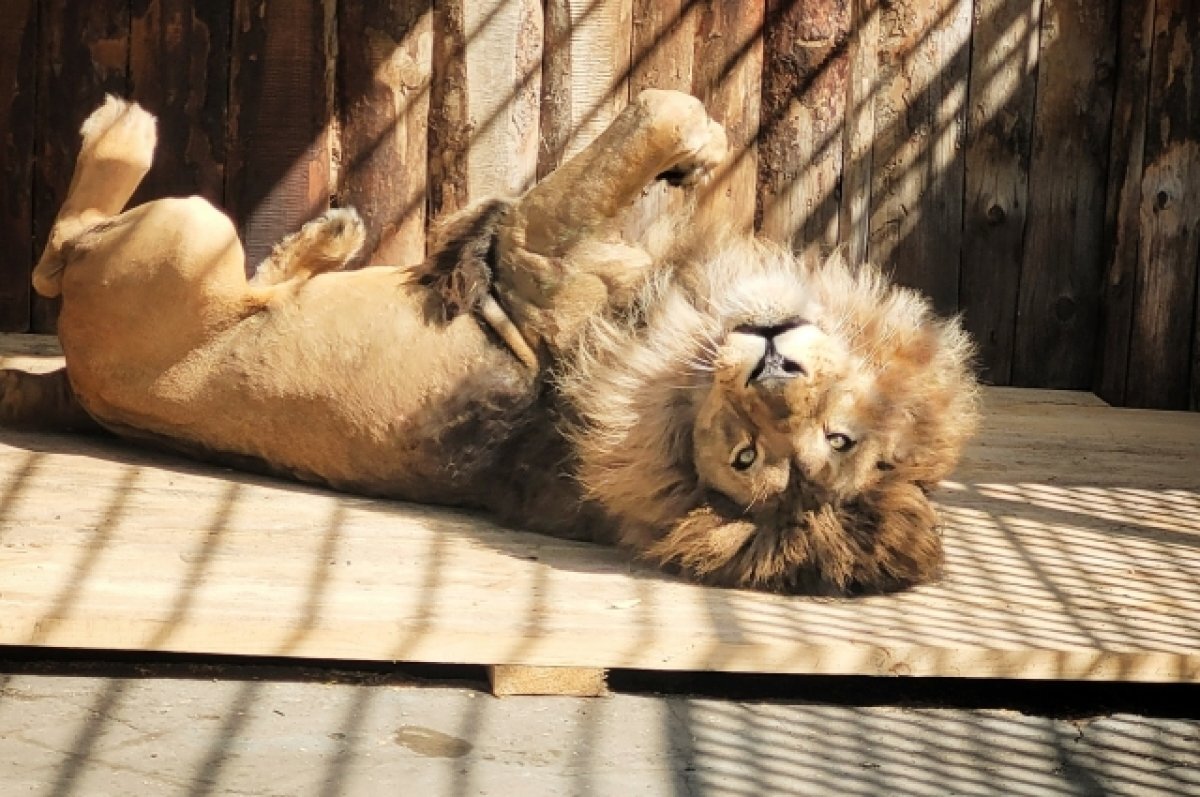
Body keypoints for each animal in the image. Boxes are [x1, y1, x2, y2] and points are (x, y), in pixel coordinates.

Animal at [0, 90, 979, 595]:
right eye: (837, 434)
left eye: (749, 459)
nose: (772, 366)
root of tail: (74, 394)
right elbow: (664, 119)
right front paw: (697, 156)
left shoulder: (533, 244)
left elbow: (656, 108)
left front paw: (690, 142)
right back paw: (322, 242)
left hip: (181, 234)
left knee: (58, 256)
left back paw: (130, 131)